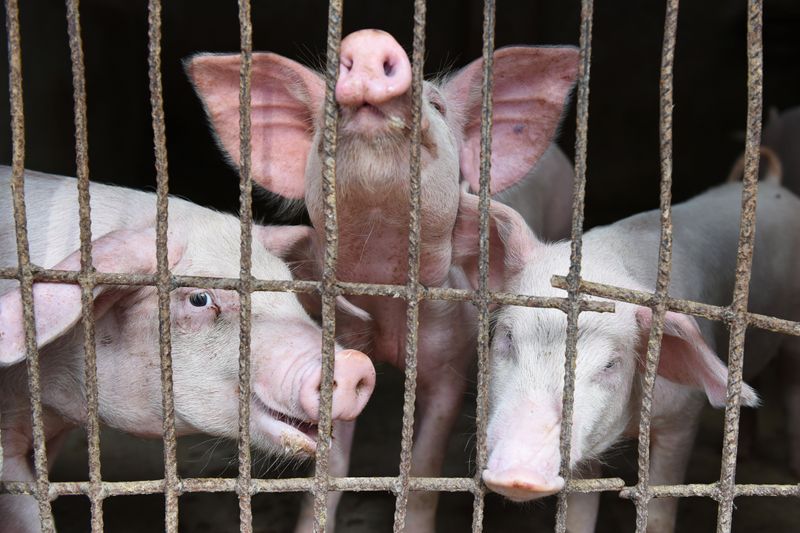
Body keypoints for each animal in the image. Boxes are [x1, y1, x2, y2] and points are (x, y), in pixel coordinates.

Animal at [186, 30, 576, 532]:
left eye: (438, 105)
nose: (370, 40)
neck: (387, 291)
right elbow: (330, 466)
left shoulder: (452, 359)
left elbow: (425, 464)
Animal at [454, 164, 800, 528]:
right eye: (507, 337)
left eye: (611, 364)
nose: (518, 473)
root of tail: (772, 184)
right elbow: (580, 515)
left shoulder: (682, 418)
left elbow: (661, 508)